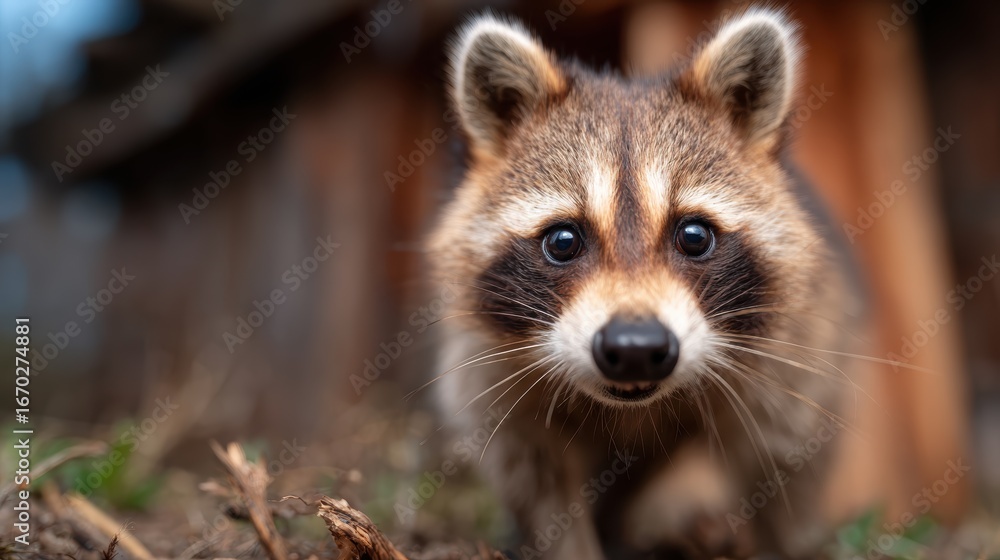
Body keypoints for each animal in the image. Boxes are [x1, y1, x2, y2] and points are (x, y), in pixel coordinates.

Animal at [428, 9, 861, 559]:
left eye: (694, 236)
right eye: (563, 241)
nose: (634, 347)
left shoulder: (793, 358)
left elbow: (786, 472)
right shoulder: (491, 375)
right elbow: (538, 488)